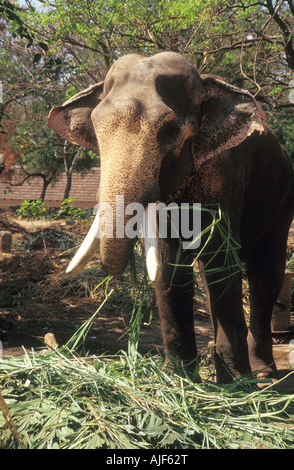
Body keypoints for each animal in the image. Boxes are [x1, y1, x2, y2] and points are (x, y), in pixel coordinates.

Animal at [48, 51, 294, 384]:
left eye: (169, 131)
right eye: (97, 131)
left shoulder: (224, 173)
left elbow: (219, 257)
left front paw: (236, 383)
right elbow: (169, 262)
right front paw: (179, 377)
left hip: (281, 193)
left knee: (265, 270)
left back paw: (262, 374)